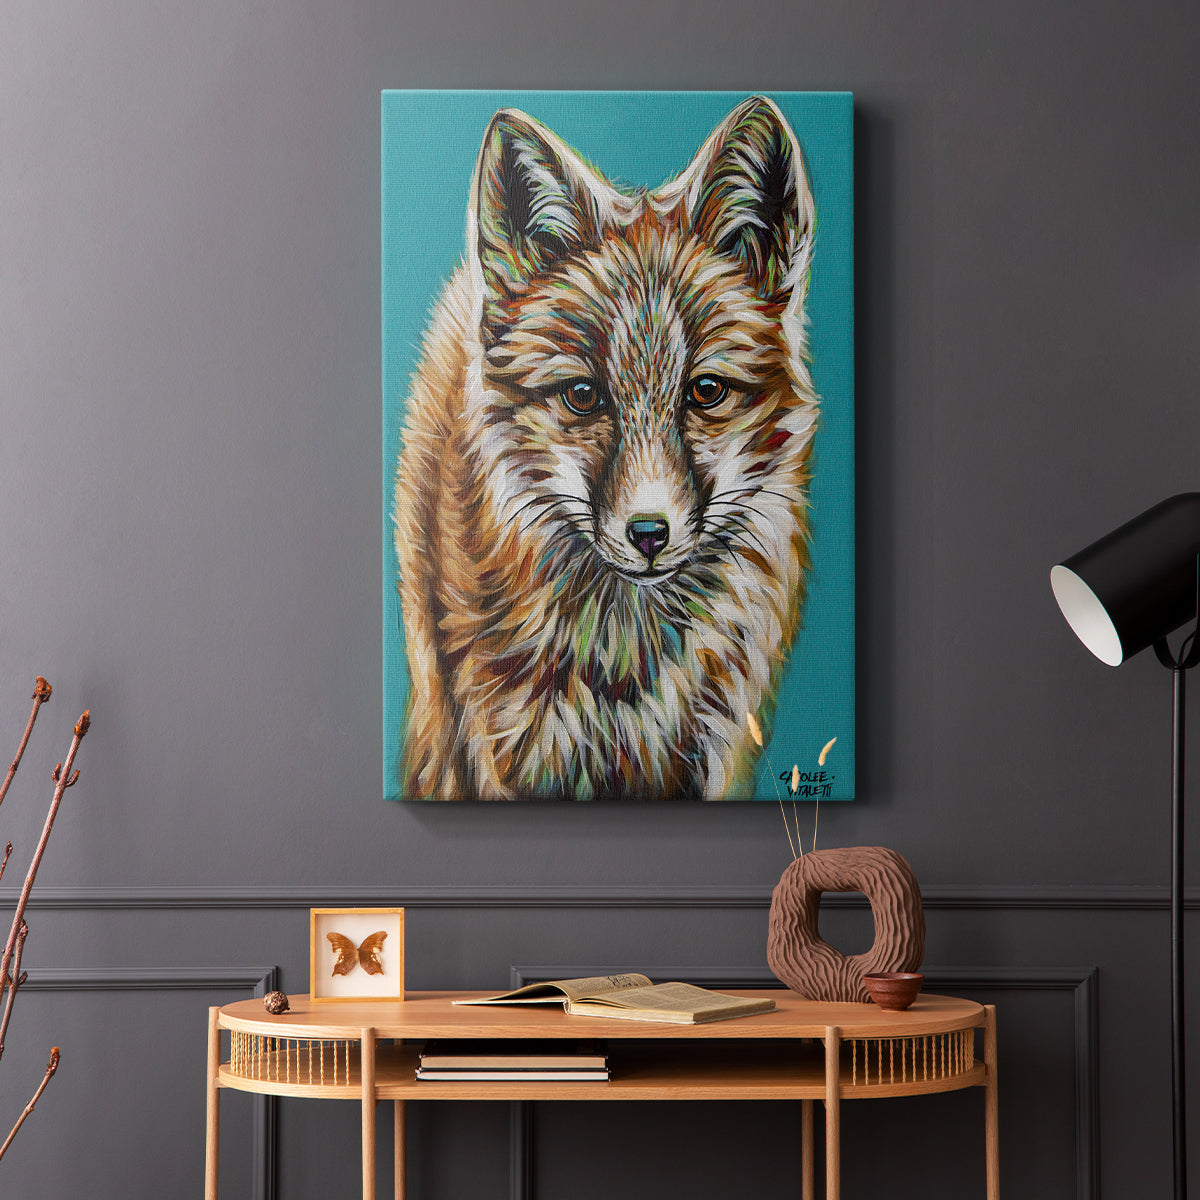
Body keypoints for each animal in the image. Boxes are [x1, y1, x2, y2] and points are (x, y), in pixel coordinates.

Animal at [393, 95, 819, 801]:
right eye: (583, 396)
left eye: (705, 390)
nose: (649, 534)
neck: (624, 672)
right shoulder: (499, 749)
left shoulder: (714, 749)